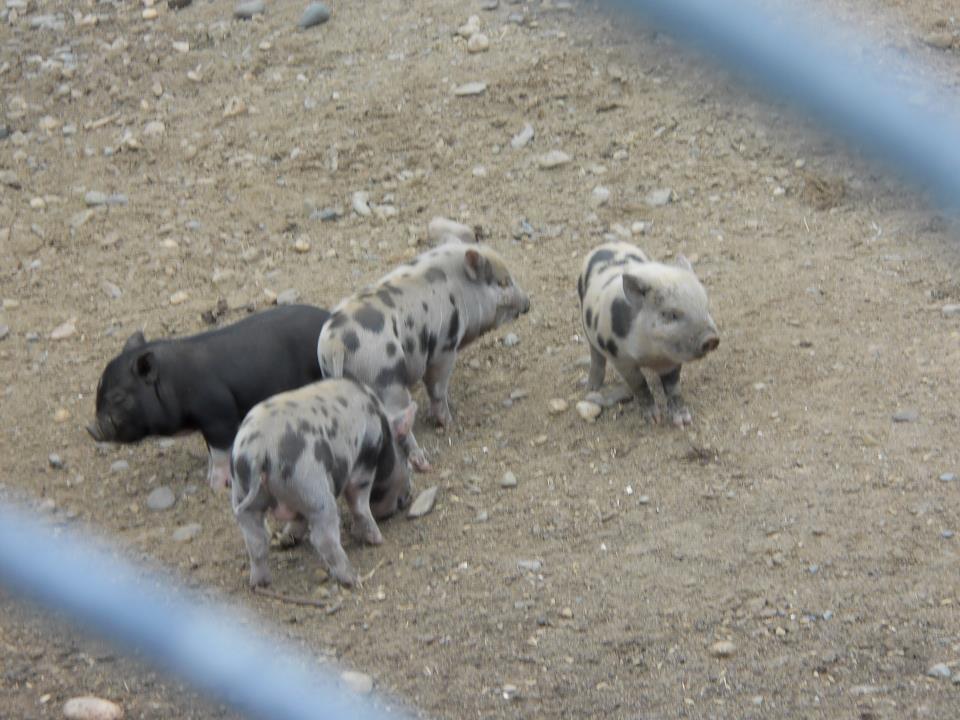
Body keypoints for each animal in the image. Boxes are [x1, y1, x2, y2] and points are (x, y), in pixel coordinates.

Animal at [88, 305, 330, 489]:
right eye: (98, 392)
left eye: (118, 397)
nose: (91, 428)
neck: (174, 383)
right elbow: (211, 453)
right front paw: (207, 476)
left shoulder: (218, 416)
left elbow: (221, 452)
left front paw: (216, 486)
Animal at [230, 378, 416, 588]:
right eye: (407, 462)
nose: (409, 495)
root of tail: (260, 450)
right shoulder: (364, 461)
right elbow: (359, 503)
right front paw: (376, 539)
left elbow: (298, 520)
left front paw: (288, 538)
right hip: (312, 488)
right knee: (323, 539)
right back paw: (354, 579)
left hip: (243, 491)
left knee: (257, 539)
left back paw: (260, 583)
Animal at [317, 241, 530, 471]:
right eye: (503, 282)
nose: (528, 303)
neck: (461, 289)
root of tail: (336, 345)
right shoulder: (444, 347)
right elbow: (437, 387)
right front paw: (449, 422)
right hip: (386, 378)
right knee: (398, 420)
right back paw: (423, 462)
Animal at [578, 242, 719, 426]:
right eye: (671, 315)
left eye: (706, 307)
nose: (711, 338)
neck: (652, 354)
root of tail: (609, 244)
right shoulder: (621, 359)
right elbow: (640, 385)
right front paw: (654, 420)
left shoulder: (671, 361)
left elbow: (673, 389)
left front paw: (684, 421)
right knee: (595, 354)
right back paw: (591, 387)